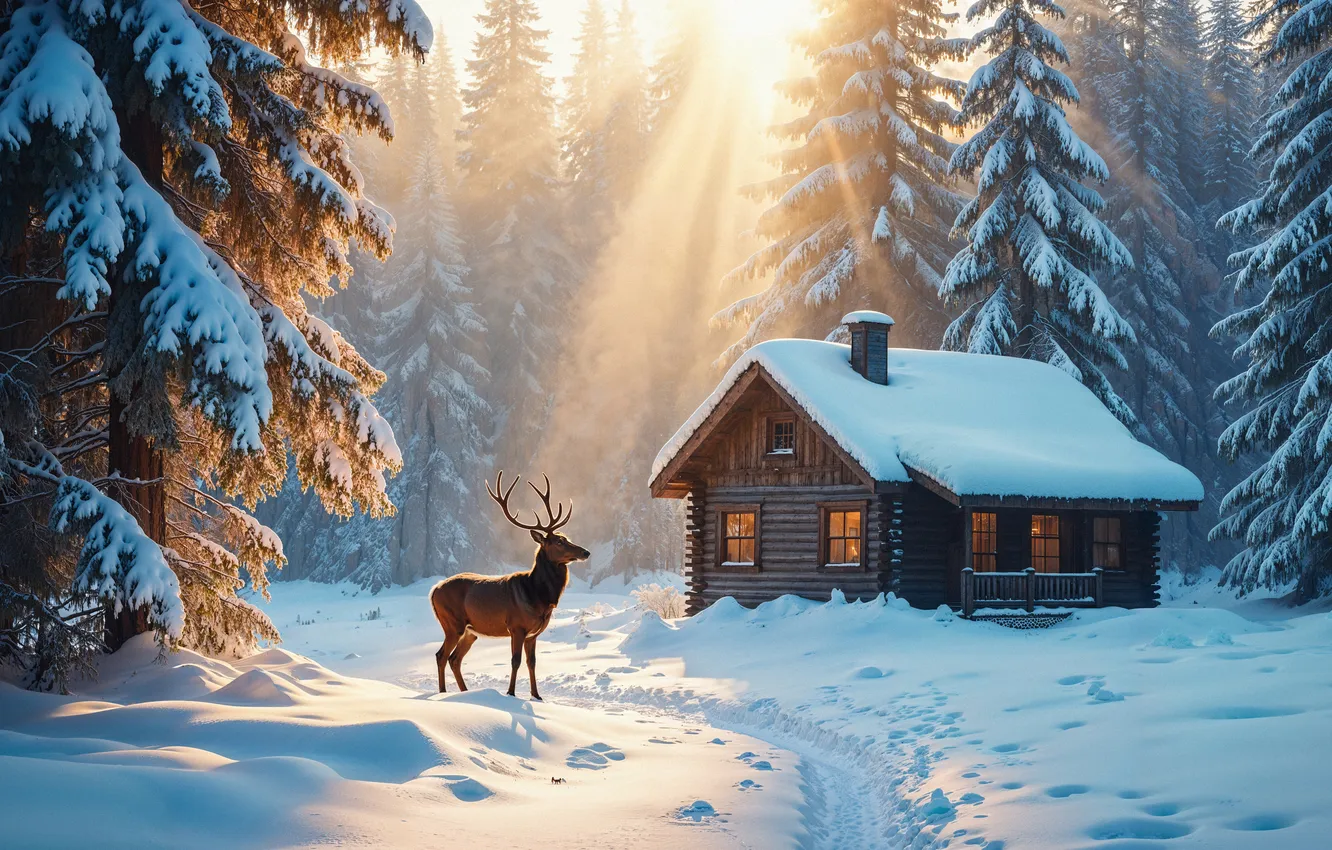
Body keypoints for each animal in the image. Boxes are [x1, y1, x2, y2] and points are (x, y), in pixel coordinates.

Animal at [429, 472, 589, 700]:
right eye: (558, 542)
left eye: (567, 538)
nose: (586, 552)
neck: (539, 596)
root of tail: (433, 591)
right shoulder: (516, 626)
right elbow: (516, 661)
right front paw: (511, 693)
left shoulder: (533, 634)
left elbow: (532, 662)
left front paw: (537, 696)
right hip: (452, 622)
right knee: (441, 655)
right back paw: (442, 694)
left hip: (470, 631)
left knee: (454, 659)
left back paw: (465, 693)